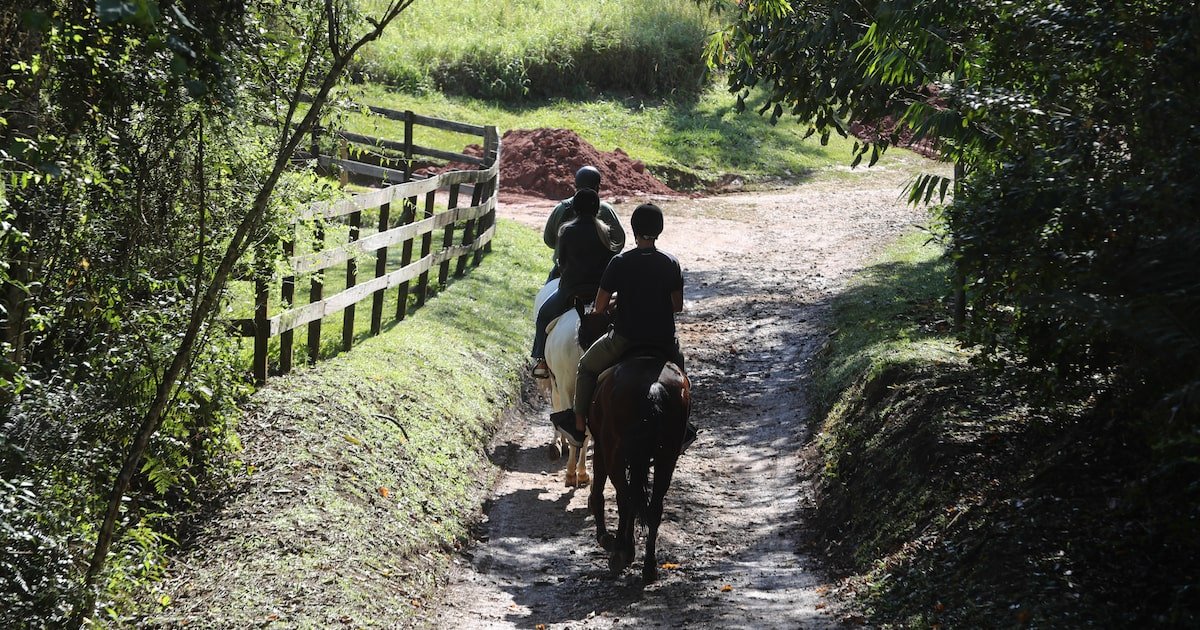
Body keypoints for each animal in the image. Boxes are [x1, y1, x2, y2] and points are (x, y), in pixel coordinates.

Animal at [585, 350, 691, 583]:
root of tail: (654, 389)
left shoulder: (602, 447)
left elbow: (601, 490)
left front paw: (609, 539)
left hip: (615, 453)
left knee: (626, 498)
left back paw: (619, 551)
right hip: (666, 457)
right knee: (654, 507)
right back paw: (649, 566)